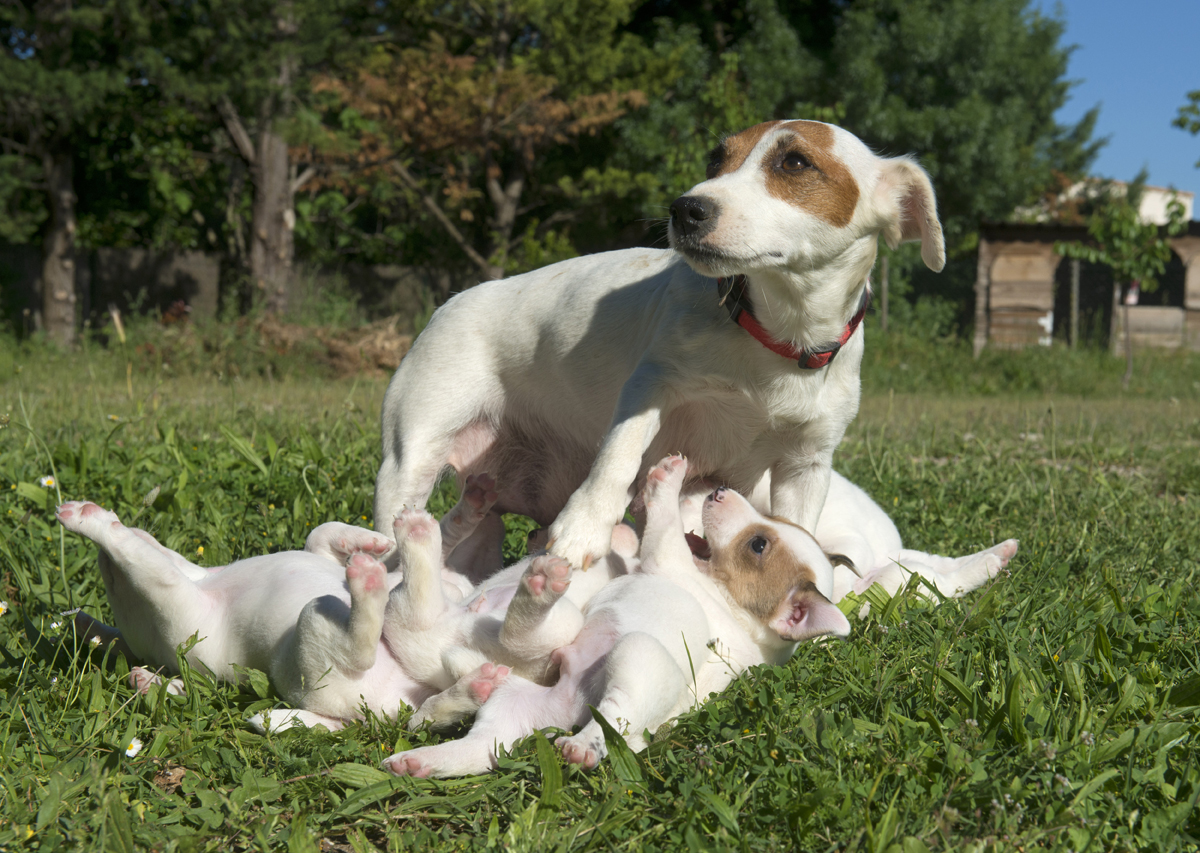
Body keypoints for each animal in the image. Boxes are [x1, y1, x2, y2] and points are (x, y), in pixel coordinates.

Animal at [374, 118, 945, 580]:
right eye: (716, 159)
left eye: (795, 162)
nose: (686, 208)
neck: (775, 337)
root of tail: (450, 303)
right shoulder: (651, 386)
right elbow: (617, 457)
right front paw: (583, 528)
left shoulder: (807, 465)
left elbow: (795, 527)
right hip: (410, 458)